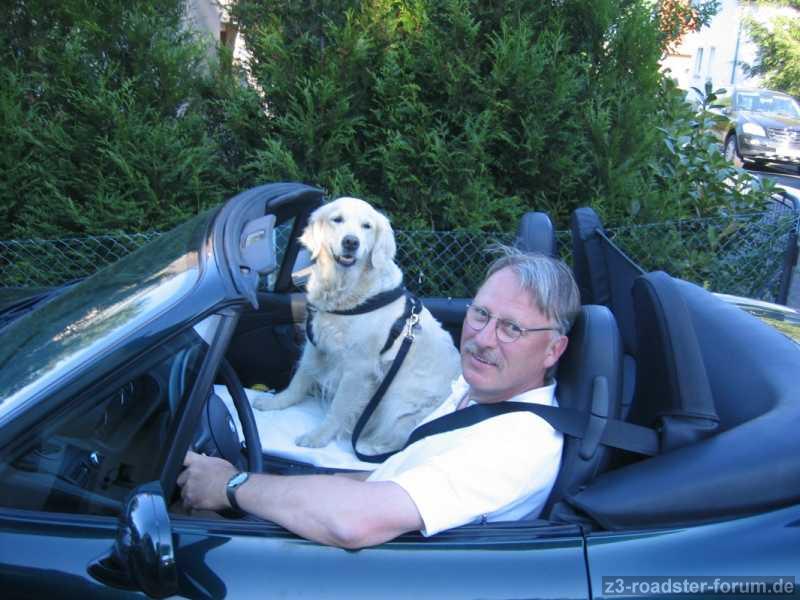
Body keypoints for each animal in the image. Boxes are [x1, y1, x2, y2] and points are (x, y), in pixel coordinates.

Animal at [253, 197, 461, 455]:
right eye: (337, 219)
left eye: (366, 226)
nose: (351, 242)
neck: (344, 290)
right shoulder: (316, 344)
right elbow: (298, 380)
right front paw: (275, 402)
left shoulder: (358, 367)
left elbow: (338, 407)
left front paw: (318, 437)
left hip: (398, 401)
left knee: (403, 436)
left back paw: (374, 448)